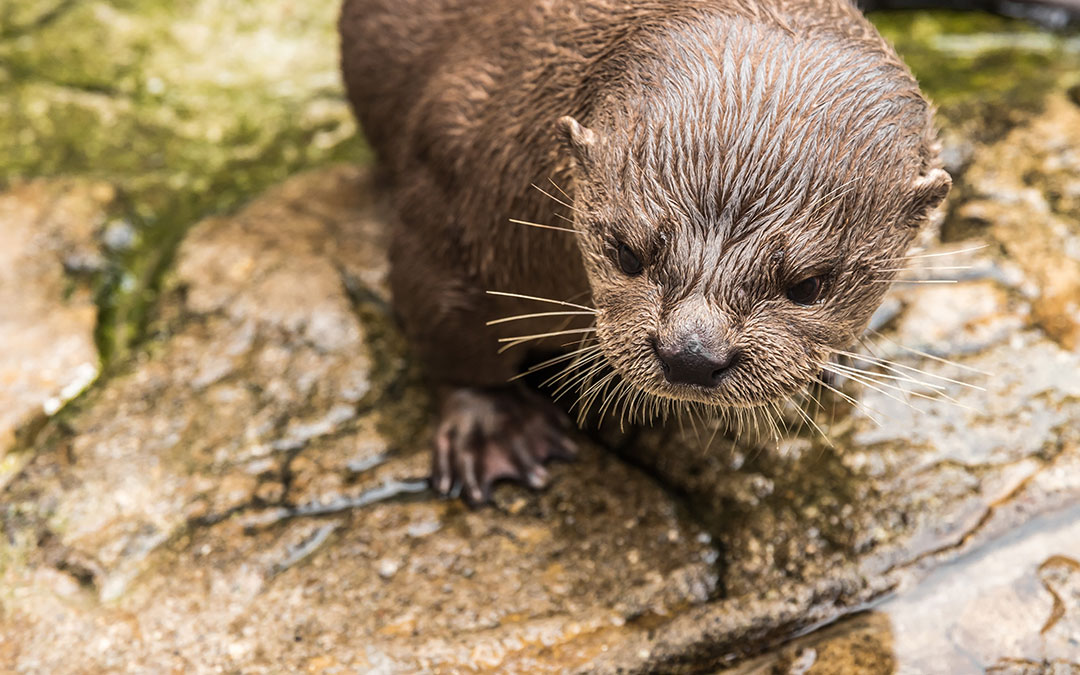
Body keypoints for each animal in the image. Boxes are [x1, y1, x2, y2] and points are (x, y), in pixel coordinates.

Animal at [336, 0, 946, 503]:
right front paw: (493, 426)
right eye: (627, 253)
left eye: (809, 286)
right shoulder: (453, 187)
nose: (692, 355)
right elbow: (448, 324)